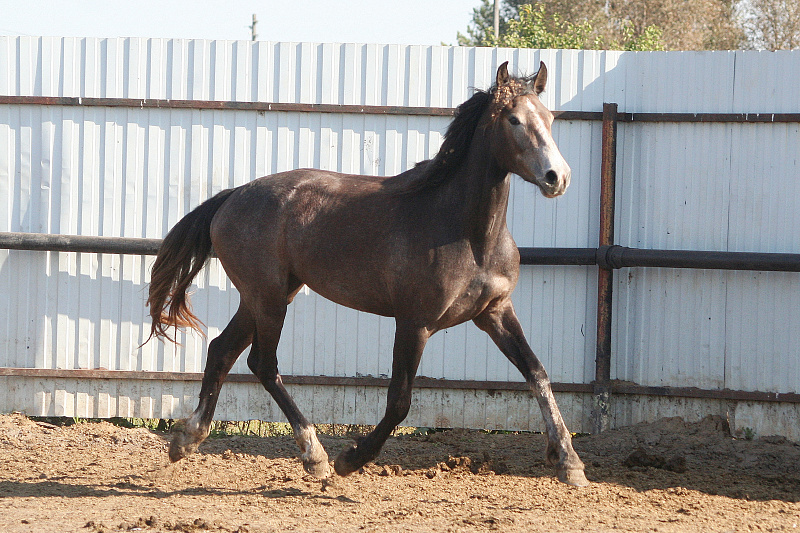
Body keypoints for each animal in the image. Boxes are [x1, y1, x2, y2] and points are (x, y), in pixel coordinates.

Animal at [146, 61, 588, 486]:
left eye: (549, 117)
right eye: (513, 119)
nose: (559, 177)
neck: (467, 232)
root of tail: (232, 196)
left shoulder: (495, 311)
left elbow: (538, 374)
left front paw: (570, 463)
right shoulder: (414, 323)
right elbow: (399, 401)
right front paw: (351, 459)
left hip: (266, 296)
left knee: (223, 350)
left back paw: (187, 439)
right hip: (268, 300)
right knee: (263, 363)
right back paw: (316, 457)